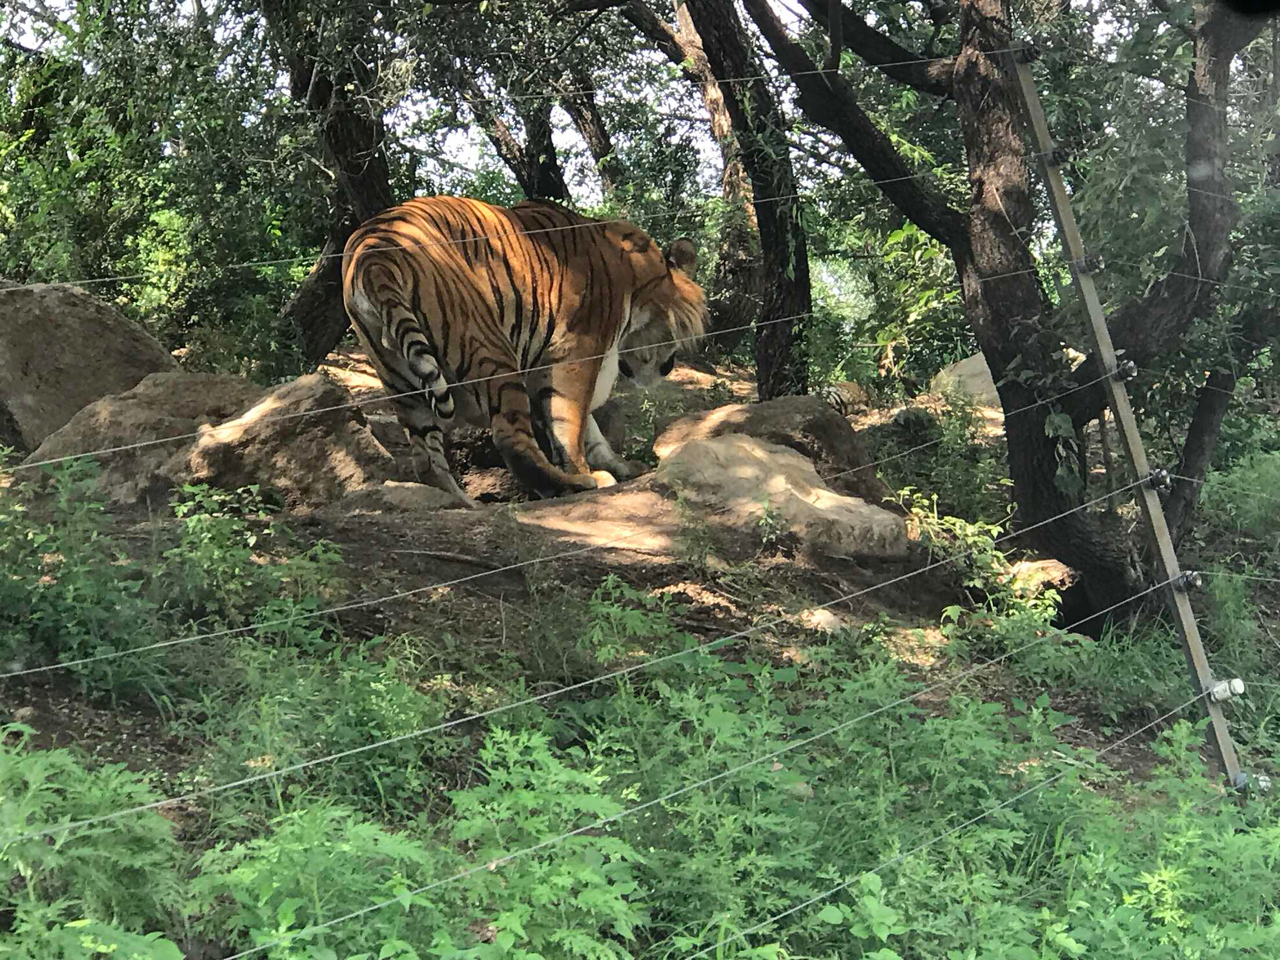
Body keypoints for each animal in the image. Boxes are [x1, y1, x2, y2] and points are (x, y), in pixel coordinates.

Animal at [340, 195, 711, 512]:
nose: (668, 368)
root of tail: (373, 253)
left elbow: (587, 428)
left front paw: (619, 465)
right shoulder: (579, 352)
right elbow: (571, 421)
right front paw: (589, 470)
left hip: (400, 380)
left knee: (427, 461)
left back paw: (463, 504)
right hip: (490, 350)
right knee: (510, 437)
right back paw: (574, 484)